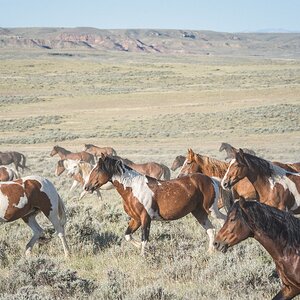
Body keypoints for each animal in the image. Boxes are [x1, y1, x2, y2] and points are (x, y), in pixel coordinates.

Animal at [83, 155, 226, 255]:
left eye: (97, 169)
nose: (86, 187)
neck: (133, 188)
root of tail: (212, 179)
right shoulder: (136, 219)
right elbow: (128, 235)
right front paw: (139, 248)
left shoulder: (145, 218)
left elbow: (144, 239)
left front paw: (144, 256)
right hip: (198, 212)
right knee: (211, 230)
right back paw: (210, 252)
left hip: (211, 210)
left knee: (223, 220)